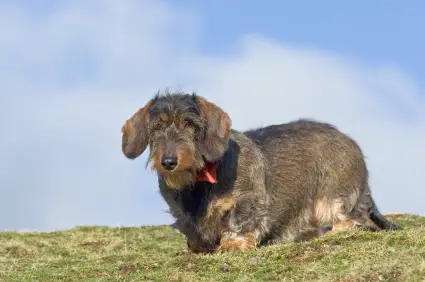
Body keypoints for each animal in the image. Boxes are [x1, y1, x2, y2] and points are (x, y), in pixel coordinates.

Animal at [120, 91, 400, 253]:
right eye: (156, 127)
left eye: (189, 124)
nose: (168, 162)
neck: (200, 179)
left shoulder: (250, 201)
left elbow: (241, 221)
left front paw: (233, 242)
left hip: (333, 201)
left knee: (356, 223)